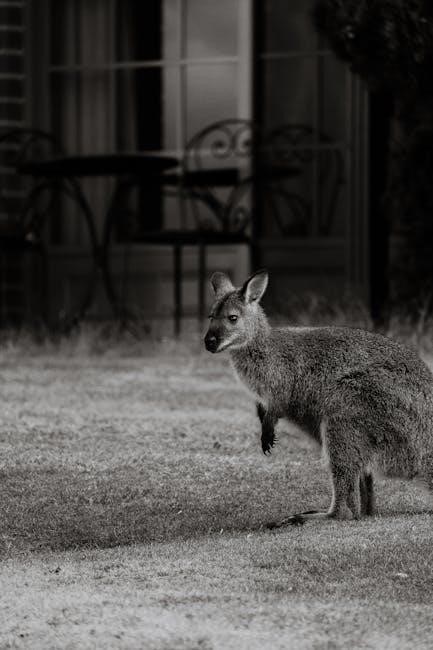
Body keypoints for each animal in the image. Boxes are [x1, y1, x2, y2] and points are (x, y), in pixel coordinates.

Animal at [204, 269, 433, 526]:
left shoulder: (284, 382)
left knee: (345, 508)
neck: (261, 346)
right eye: (211, 316)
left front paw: (267, 434)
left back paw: (308, 517)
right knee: (363, 503)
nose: (208, 342)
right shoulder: (264, 395)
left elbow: (277, 406)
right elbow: (263, 409)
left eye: (232, 318)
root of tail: (424, 453)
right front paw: (263, 426)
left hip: (351, 407)